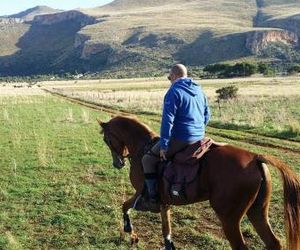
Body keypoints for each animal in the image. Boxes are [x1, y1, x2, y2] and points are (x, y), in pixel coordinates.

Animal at [98, 115, 300, 250]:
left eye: (106, 139)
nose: (117, 163)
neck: (142, 148)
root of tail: (255, 157)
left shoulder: (141, 193)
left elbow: (125, 206)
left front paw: (130, 233)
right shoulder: (164, 203)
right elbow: (166, 228)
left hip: (229, 219)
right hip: (257, 212)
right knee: (273, 243)